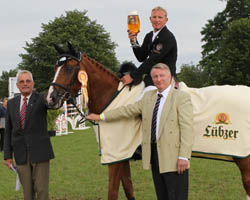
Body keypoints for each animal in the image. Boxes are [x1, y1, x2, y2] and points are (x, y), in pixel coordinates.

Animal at [46, 42, 250, 200]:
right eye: (55, 68)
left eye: (69, 68)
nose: (50, 99)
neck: (113, 99)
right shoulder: (122, 156)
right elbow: (128, 188)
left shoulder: (115, 157)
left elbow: (112, 192)